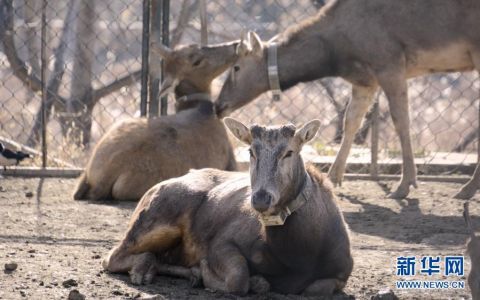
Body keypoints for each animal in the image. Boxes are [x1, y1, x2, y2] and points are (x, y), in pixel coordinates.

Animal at [103, 118, 354, 296]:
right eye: (251, 151)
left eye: (289, 152)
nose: (261, 199)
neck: (299, 254)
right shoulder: (221, 243)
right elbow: (238, 279)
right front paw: (238, 278)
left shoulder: (342, 272)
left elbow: (315, 289)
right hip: (157, 220)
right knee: (112, 256)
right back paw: (143, 268)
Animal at [216, 0, 480, 199]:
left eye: (236, 67)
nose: (219, 105)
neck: (336, 54)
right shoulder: (365, 80)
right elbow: (351, 121)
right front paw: (333, 177)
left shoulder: (390, 63)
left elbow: (401, 122)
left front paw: (405, 184)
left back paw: (467, 189)